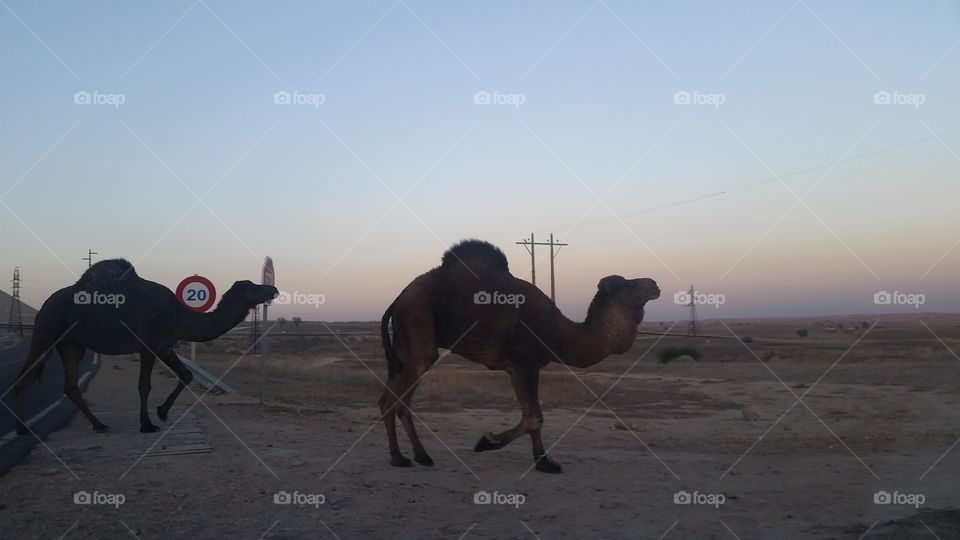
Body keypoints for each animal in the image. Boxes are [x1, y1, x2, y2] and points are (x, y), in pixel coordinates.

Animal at [14, 259, 277, 434]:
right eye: (253, 286)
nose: (272, 288)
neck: (179, 317)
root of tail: (44, 306)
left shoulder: (164, 346)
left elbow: (186, 374)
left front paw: (162, 412)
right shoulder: (148, 345)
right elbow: (144, 385)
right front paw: (147, 424)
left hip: (71, 345)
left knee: (70, 385)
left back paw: (99, 425)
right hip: (46, 332)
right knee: (24, 376)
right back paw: (22, 428)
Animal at [379, 239, 660, 473]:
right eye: (629, 284)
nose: (655, 284)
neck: (556, 332)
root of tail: (398, 299)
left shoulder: (528, 366)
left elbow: (533, 415)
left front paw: (544, 462)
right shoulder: (523, 364)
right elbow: (534, 417)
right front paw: (487, 442)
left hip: (403, 346)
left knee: (391, 399)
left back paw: (416, 455)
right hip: (417, 321)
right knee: (399, 395)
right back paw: (400, 457)